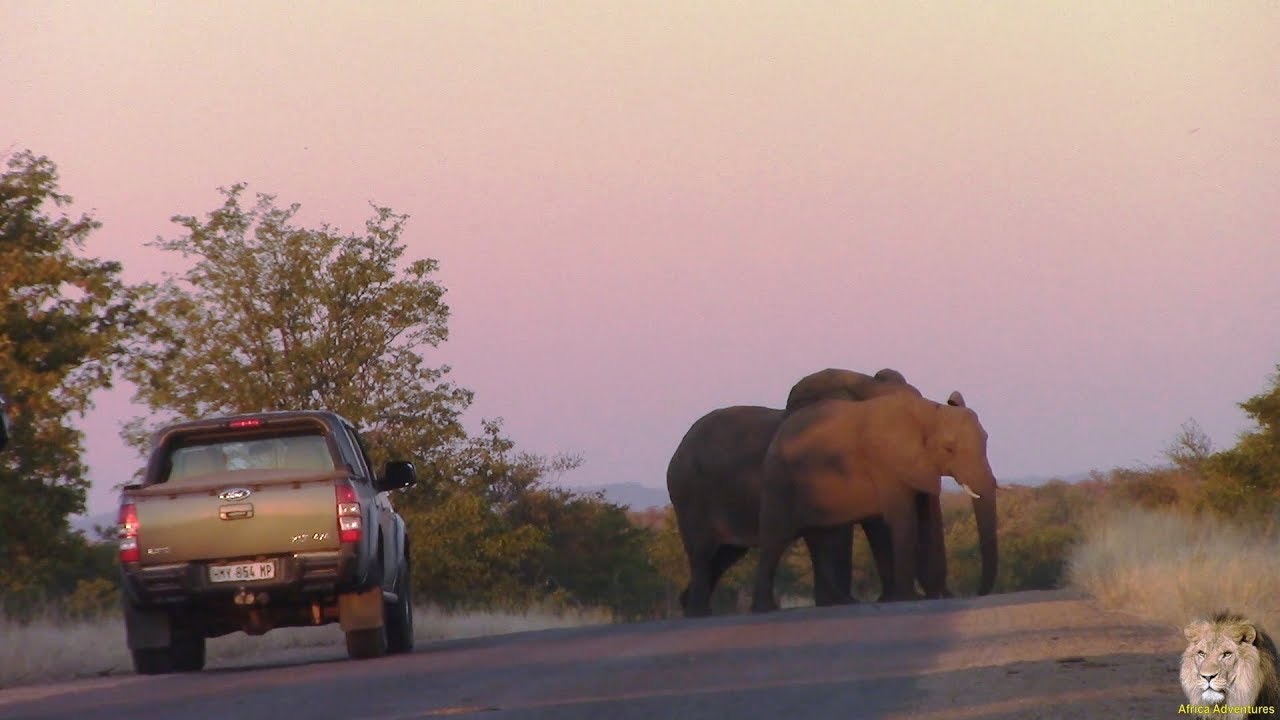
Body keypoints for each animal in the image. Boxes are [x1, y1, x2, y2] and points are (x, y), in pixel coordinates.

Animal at [666, 368, 938, 618]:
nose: (934, 595)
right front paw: (846, 602)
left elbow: (874, 525)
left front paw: (853, 602)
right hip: (690, 494)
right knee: (703, 552)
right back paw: (698, 612)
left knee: (725, 554)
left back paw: (687, 604)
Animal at [750, 390, 999, 613]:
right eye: (949, 449)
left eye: (987, 440)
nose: (977, 593)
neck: (930, 411)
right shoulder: (886, 463)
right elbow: (904, 519)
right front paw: (907, 598)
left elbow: (924, 518)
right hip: (779, 481)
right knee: (775, 539)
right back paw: (765, 609)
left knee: (824, 539)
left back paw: (841, 603)